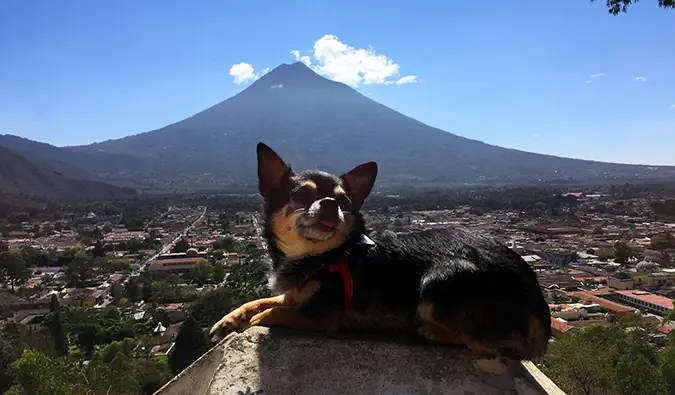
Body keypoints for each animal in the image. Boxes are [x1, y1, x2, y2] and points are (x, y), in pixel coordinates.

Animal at [211, 143, 556, 362]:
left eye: (344, 201)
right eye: (301, 195)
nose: (331, 204)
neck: (322, 258)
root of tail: (541, 310)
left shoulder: (320, 315)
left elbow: (270, 313)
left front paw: (250, 321)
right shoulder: (295, 296)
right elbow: (257, 302)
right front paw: (229, 319)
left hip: (440, 282)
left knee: (488, 347)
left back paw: (428, 330)